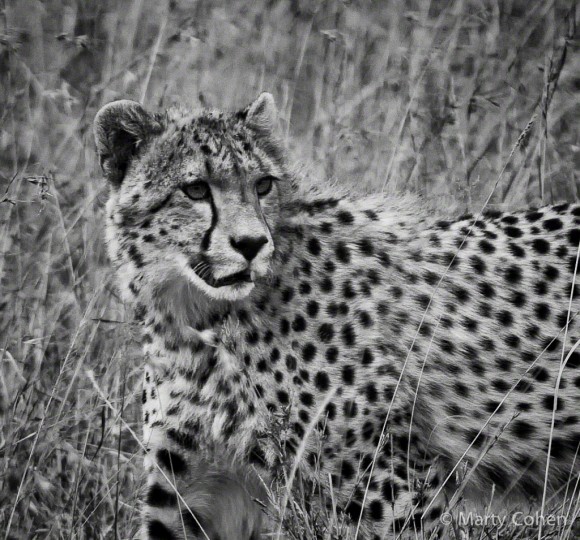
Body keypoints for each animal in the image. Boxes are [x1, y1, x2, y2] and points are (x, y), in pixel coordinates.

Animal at [95, 94, 580, 540]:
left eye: (263, 185)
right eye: (195, 189)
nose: (252, 244)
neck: (194, 320)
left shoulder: (392, 492)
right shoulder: (193, 492)